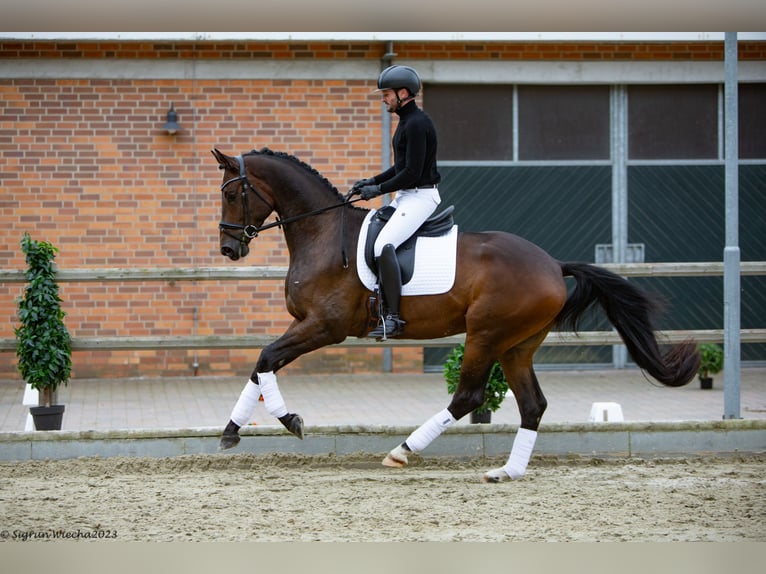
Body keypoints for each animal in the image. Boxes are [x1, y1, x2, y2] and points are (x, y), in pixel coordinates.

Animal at [212, 146, 704, 484]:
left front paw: (288, 421)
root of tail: (552, 263)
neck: (322, 232)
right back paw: (506, 472)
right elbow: (261, 364)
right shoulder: (305, 326)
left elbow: (266, 358)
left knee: (468, 396)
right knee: (532, 404)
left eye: (234, 193)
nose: (229, 249)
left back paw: (402, 451)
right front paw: (233, 429)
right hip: (517, 345)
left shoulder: (324, 328)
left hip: (485, 335)